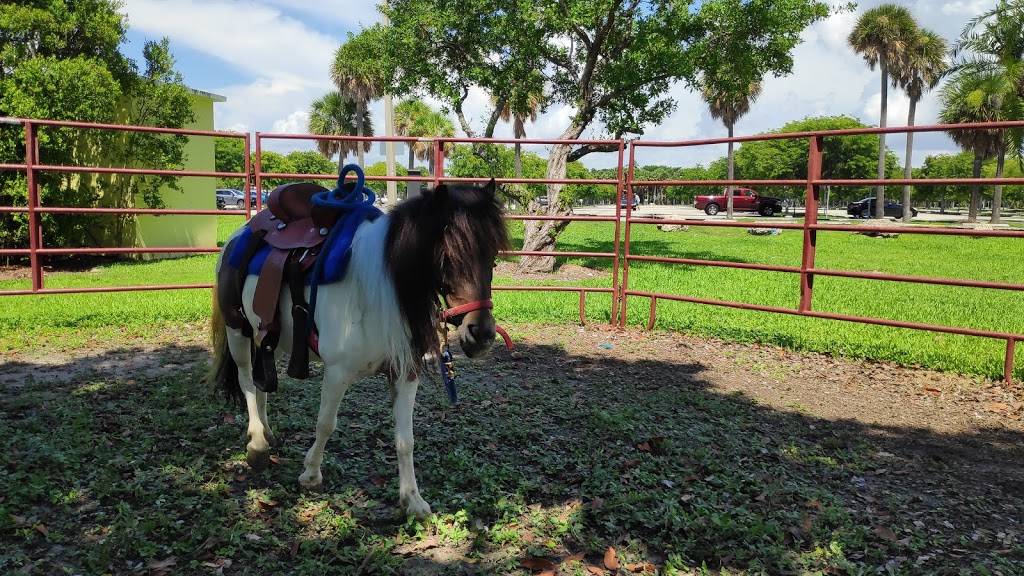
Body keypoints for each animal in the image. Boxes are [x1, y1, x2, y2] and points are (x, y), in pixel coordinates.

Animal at [208, 180, 507, 516]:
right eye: (447, 256)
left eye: (493, 255)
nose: (482, 335)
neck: (377, 290)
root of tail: (243, 231)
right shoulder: (337, 372)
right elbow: (326, 424)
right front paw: (311, 474)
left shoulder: (405, 373)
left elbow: (406, 439)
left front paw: (412, 499)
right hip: (238, 330)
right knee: (247, 380)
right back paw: (257, 443)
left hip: (271, 338)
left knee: (262, 384)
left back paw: (266, 432)